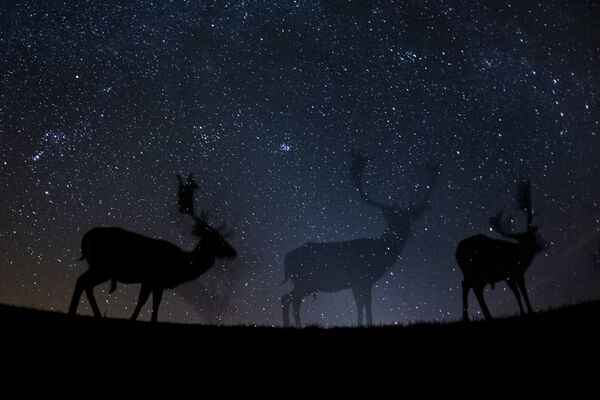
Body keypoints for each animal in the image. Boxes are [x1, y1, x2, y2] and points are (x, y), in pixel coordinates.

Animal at [68, 175, 237, 322]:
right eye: (219, 241)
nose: (234, 252)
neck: (182, 267)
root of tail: (86, 237)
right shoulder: (157, 279)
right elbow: (153, 304)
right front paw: (145, 320)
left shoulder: (149, 282)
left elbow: (143, 302)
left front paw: (133, 319)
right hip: (102, 266)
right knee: (82, 281)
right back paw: (76, 312)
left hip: (101, 268)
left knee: (86, 284)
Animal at [278, 152, 438, 326]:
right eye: (391, 218)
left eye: (408, 219)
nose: (399, 233)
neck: (379, 253)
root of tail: (287, 258)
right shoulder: (358, 279)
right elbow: (362, 305)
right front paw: (363, 323)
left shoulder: (366, 282)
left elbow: (366, 304)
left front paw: (366, 322)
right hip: (305, 280)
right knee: (289, 299)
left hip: (305, 283)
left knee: (289, 300)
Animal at [458, 179, 548, 322]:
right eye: (531, 237)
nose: (540, 247)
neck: (522, 256)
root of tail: (456, 253)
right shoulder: (516, 271)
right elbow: (523, 291)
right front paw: (530, 311)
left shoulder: (508, 277)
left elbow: (516, 293)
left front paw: (523, 312)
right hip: (475, 271)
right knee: (469, 286)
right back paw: (472, 317)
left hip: (478, 275)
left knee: (474, 289)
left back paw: (483, 316)